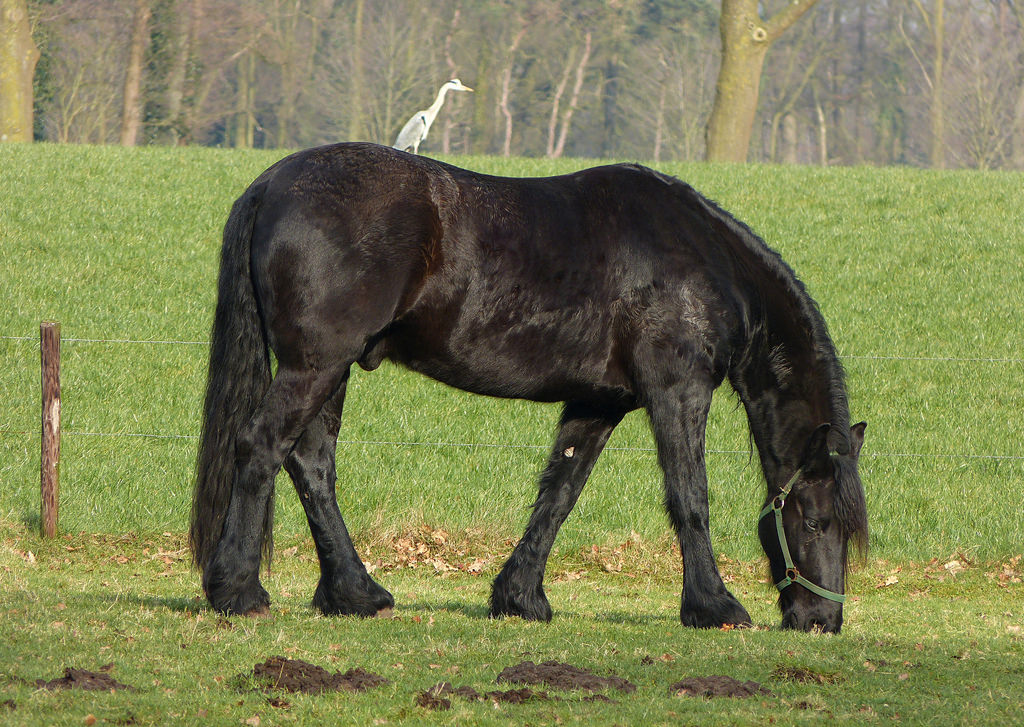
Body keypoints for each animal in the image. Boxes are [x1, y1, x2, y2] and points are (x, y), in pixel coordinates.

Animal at [189, 142, 868, 633]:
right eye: (815, 522)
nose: (823, 620)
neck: (705, 261)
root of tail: (271, 184)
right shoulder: (678, 390)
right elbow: (688, 496)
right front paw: (713, 606)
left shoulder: (599, 402)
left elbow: (559, 493)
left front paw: (519, 597)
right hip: (316, 366)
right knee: (261, 447)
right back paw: (239, 591)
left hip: (331, 370)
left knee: (310, 464)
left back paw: (354, 594)